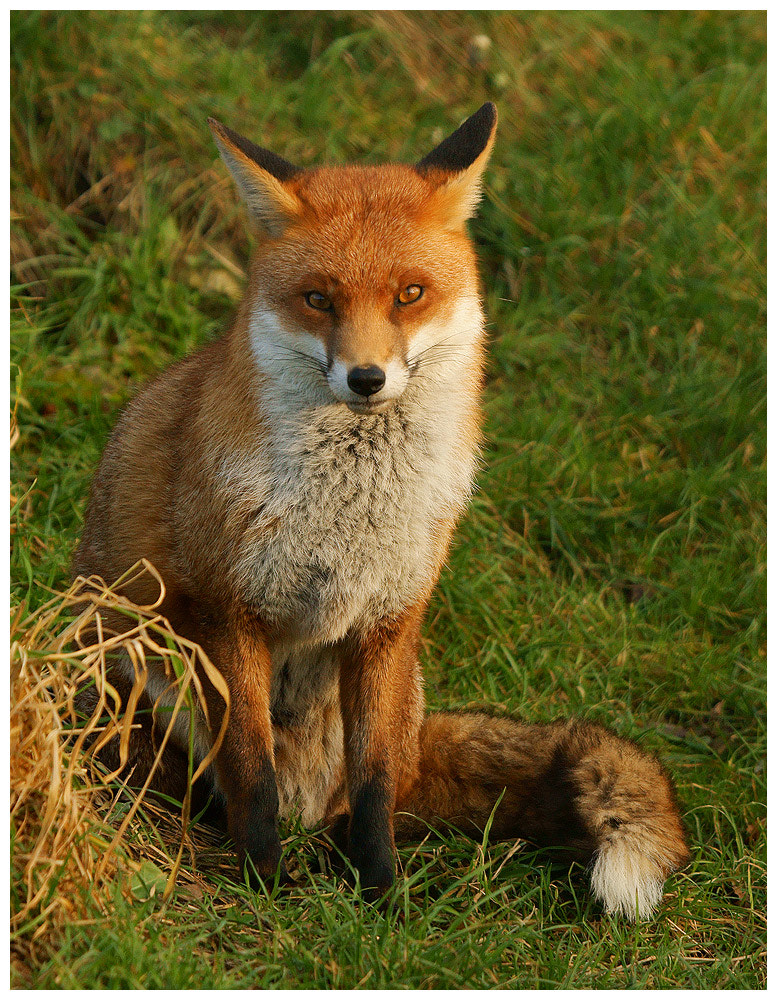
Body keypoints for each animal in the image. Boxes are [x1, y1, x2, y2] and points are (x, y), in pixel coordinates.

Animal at [73, 103, 689, 920]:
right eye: (317, 299)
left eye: (409, 294)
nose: (365, 378)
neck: (352, 507)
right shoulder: (230, 613)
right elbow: (250, 769)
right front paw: (264, 881)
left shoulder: (388, 620)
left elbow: (372, 791)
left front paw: (381, 896)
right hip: (133, 664)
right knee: (193, 775)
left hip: (401, 701)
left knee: (376, 789)